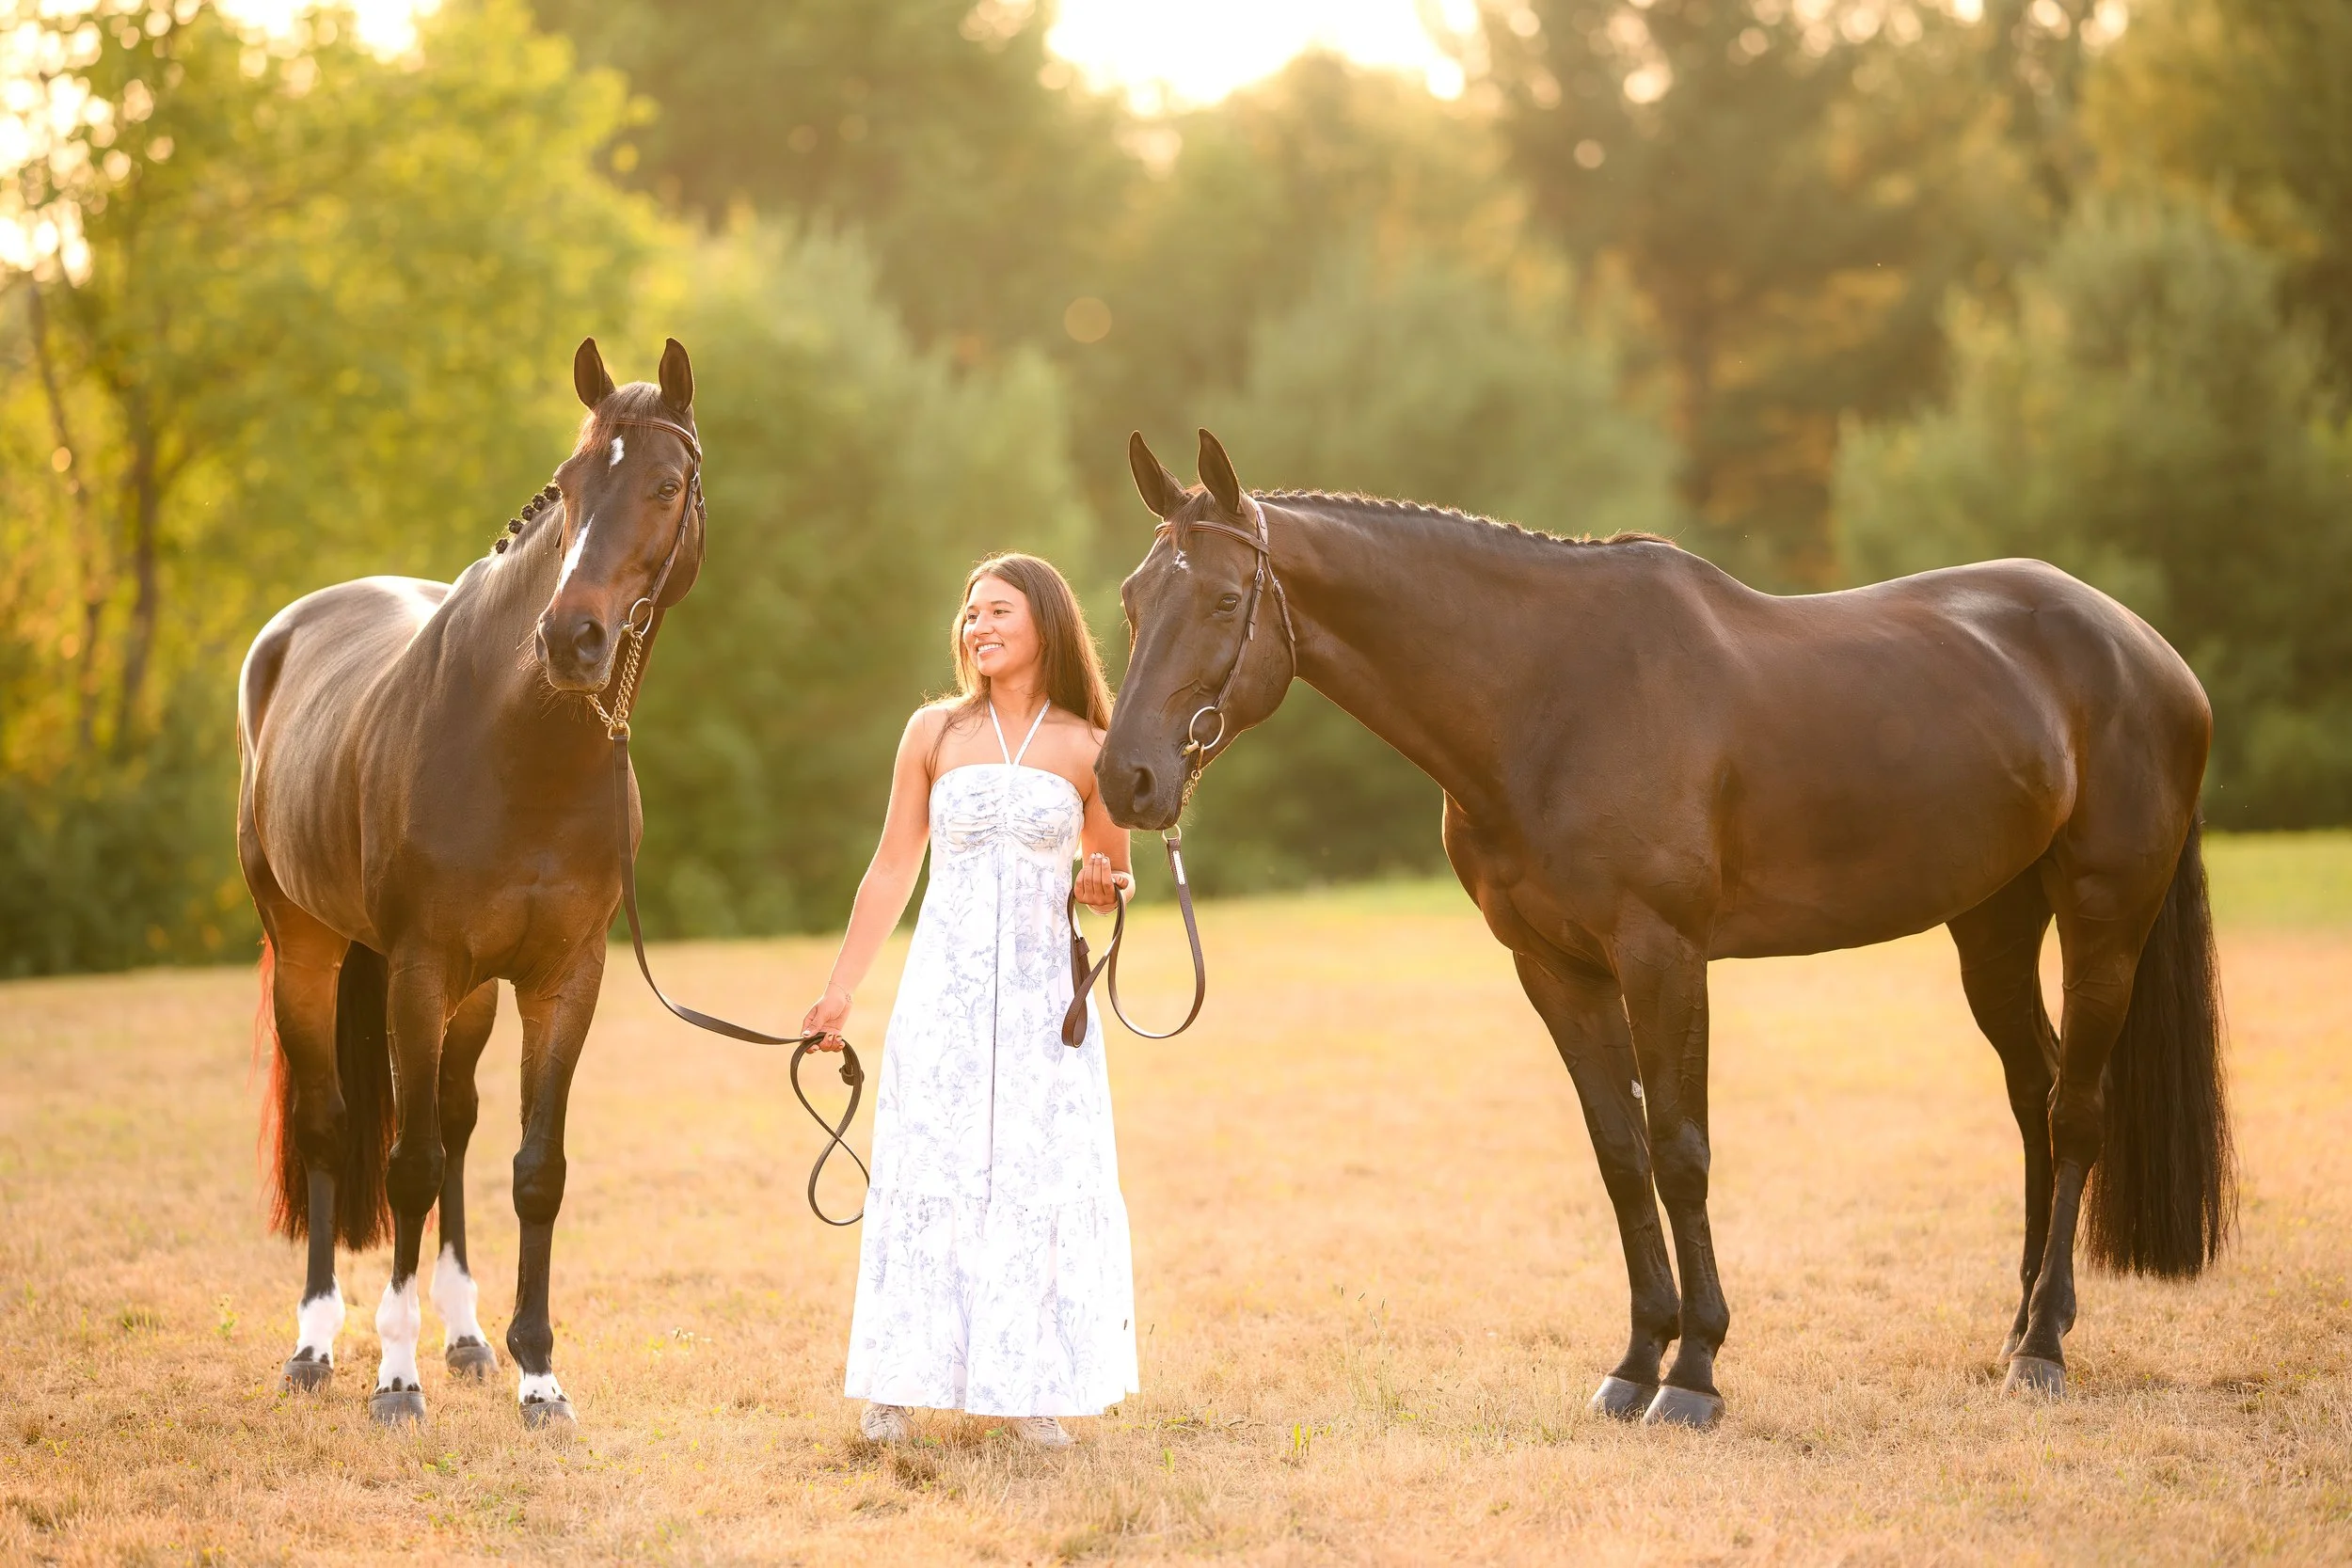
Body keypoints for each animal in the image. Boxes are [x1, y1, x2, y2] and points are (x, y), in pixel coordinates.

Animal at [237, 338, 707, 1426]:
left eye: (665, 485)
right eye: (569, 486)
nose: (571, 638)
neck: (522, 745)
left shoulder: (563, 980)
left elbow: (535, 1169)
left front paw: (538, 1371)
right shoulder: (417, 970)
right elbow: (403, 1167)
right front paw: (393, 1374)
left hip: (475, 995)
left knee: (453, 1123)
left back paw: (463, 1333)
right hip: (310, 951)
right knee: (331, 1129)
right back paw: (316, 1340)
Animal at [1099, 429, 2231, 1429]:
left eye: (1224, 599)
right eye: (1130, 598)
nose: (1127, 777)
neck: (1549, 695)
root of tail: (2147, 651)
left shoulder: (1662, 954)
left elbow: (1681, 1150)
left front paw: (1694, 1375)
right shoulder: (1556, 968)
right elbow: (1620, 1154)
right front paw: (1635, 1361)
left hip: (2103, 916)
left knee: (2075, 1111)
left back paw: (2042, 1347)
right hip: (1992, 925)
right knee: (2033, 1094)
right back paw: (2018, 1325)